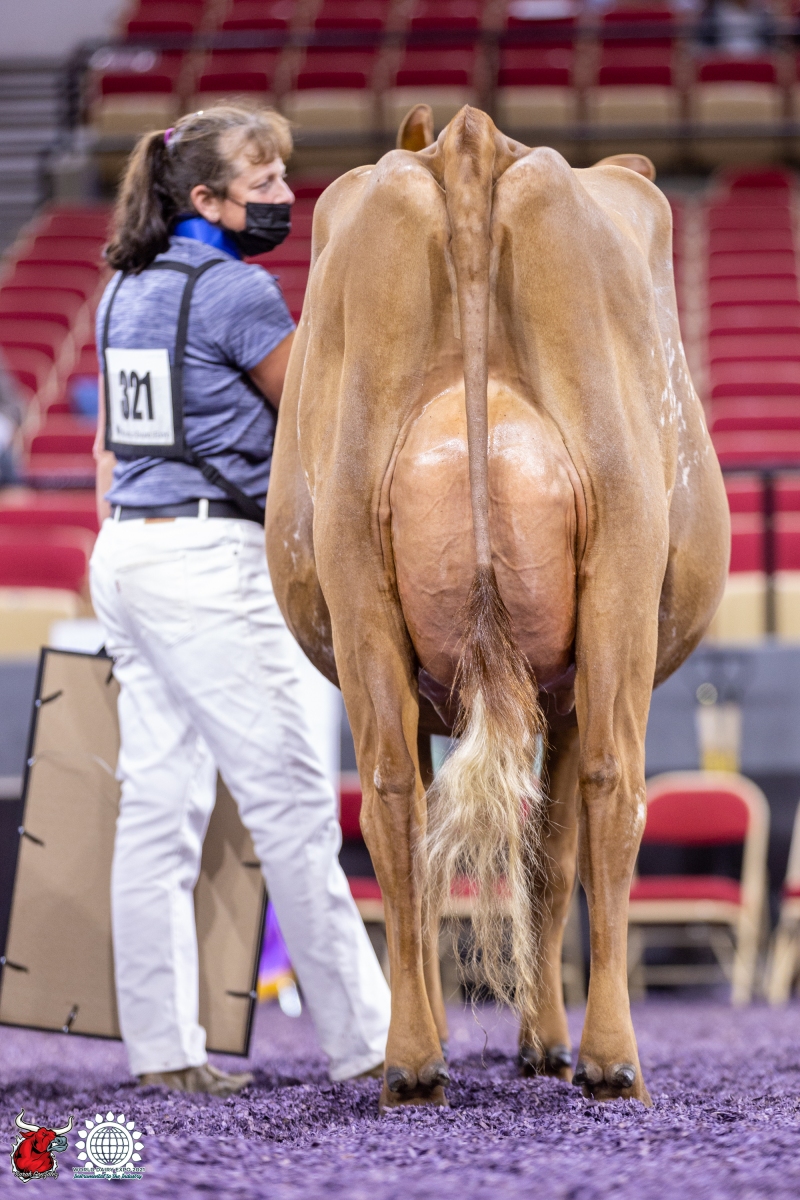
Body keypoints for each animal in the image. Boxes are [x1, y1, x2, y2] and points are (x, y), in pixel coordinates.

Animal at [266, 104, 730, 1111]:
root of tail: (471, 141)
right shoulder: (563, 690)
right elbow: (552, 853)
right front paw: (541, 1043)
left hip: (359, 569)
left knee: (394, 800)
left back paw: (412, 1060)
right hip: (619, 576)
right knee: (611, 791)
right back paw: (606, 1058)